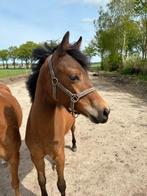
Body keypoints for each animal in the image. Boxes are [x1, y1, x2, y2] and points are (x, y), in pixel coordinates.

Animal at [25, 31, 109, 195]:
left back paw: (74, 145)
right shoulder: (36, 158)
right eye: (73, 76)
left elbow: (61, 184)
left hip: (73, 125)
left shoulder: (60, 157)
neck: (42, 130)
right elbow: (42, 182)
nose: (105, 111)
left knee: (73, 131)